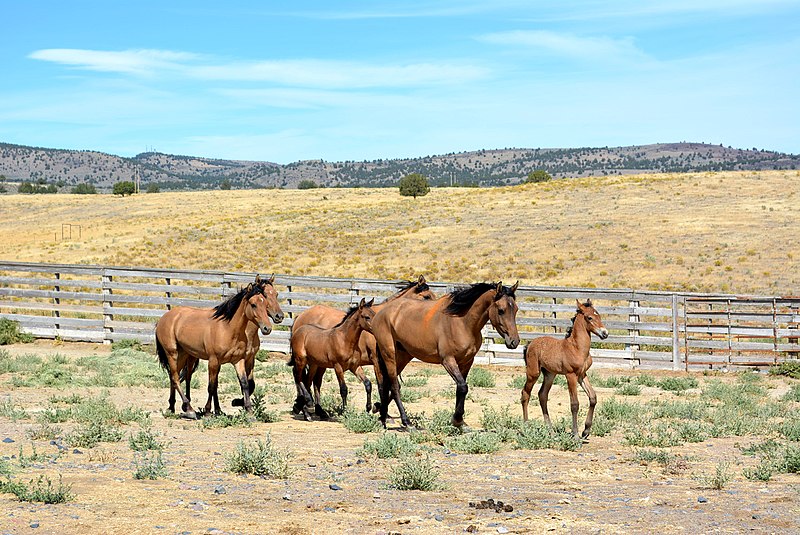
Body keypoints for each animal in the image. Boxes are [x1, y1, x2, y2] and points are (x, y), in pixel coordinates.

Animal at [155, 276, 282, 418]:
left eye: (274, 296)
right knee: (176, 378)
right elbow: (211, 386)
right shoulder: (214, 361)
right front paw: (208, 412)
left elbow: (245, 384)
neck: (228, 329)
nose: (267, 328)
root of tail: (163, 318)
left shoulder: (239, 360)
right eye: (253, 304)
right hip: (172, 353)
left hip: (185, 354)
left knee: (178, 376)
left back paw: (173, 407)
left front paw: (248, 412)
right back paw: (190, 409)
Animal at [290, 276, 434, 414]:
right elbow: (383, 385)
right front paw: (381, 410)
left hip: (319, 362)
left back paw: (314, 409)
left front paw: (377, 408)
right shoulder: (377, 360)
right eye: (427, 296)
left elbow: (392, 385)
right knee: (301, 376)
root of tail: (300, 316)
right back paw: (302, 405)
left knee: (314, 380)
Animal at [368, 282, 520, 430]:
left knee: (387, 384)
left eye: (516, 310)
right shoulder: (448, 360)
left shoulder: (466, 362)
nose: (514, 341)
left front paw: (460, 422)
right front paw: (457, 420)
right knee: (394, 386)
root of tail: (381, 313)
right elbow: (463, 387)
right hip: (389, 355)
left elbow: (460, 388)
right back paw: (406, 423)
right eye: (501, 310)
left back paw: (382, 416)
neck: (462, 322)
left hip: (403, 356)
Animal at [520, 300, 608, 442]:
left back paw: (551, 432)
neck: (577, 348)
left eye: (599, 315)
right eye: (589, 317)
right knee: (525, 394)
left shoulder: (582, 375)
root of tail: (530, 344)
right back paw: (526, 428)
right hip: (533, 373)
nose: (605, 333)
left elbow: (593, 397)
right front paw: (576, 435)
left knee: (542, 395)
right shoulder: (571, 375)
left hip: (550, 374)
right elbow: (575, 404)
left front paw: (586, 431)